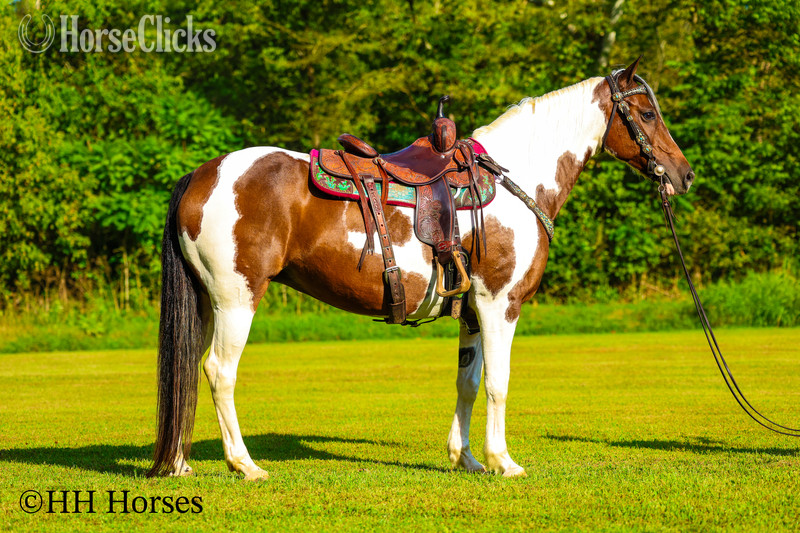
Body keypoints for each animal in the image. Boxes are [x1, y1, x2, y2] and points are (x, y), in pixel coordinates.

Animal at [147, 58, 694, 480]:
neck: (516, 178)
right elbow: (498, 382)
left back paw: (179, 463)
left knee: (189, 370)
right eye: (646, 113)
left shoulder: (472, 310)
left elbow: (468, 383)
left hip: (207, 303)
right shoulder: (500, 303)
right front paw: (503, 461)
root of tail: (203, 174)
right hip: (236, 299)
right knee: (219, 371)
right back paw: (245, 465)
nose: (684, 175)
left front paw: (466, 458)